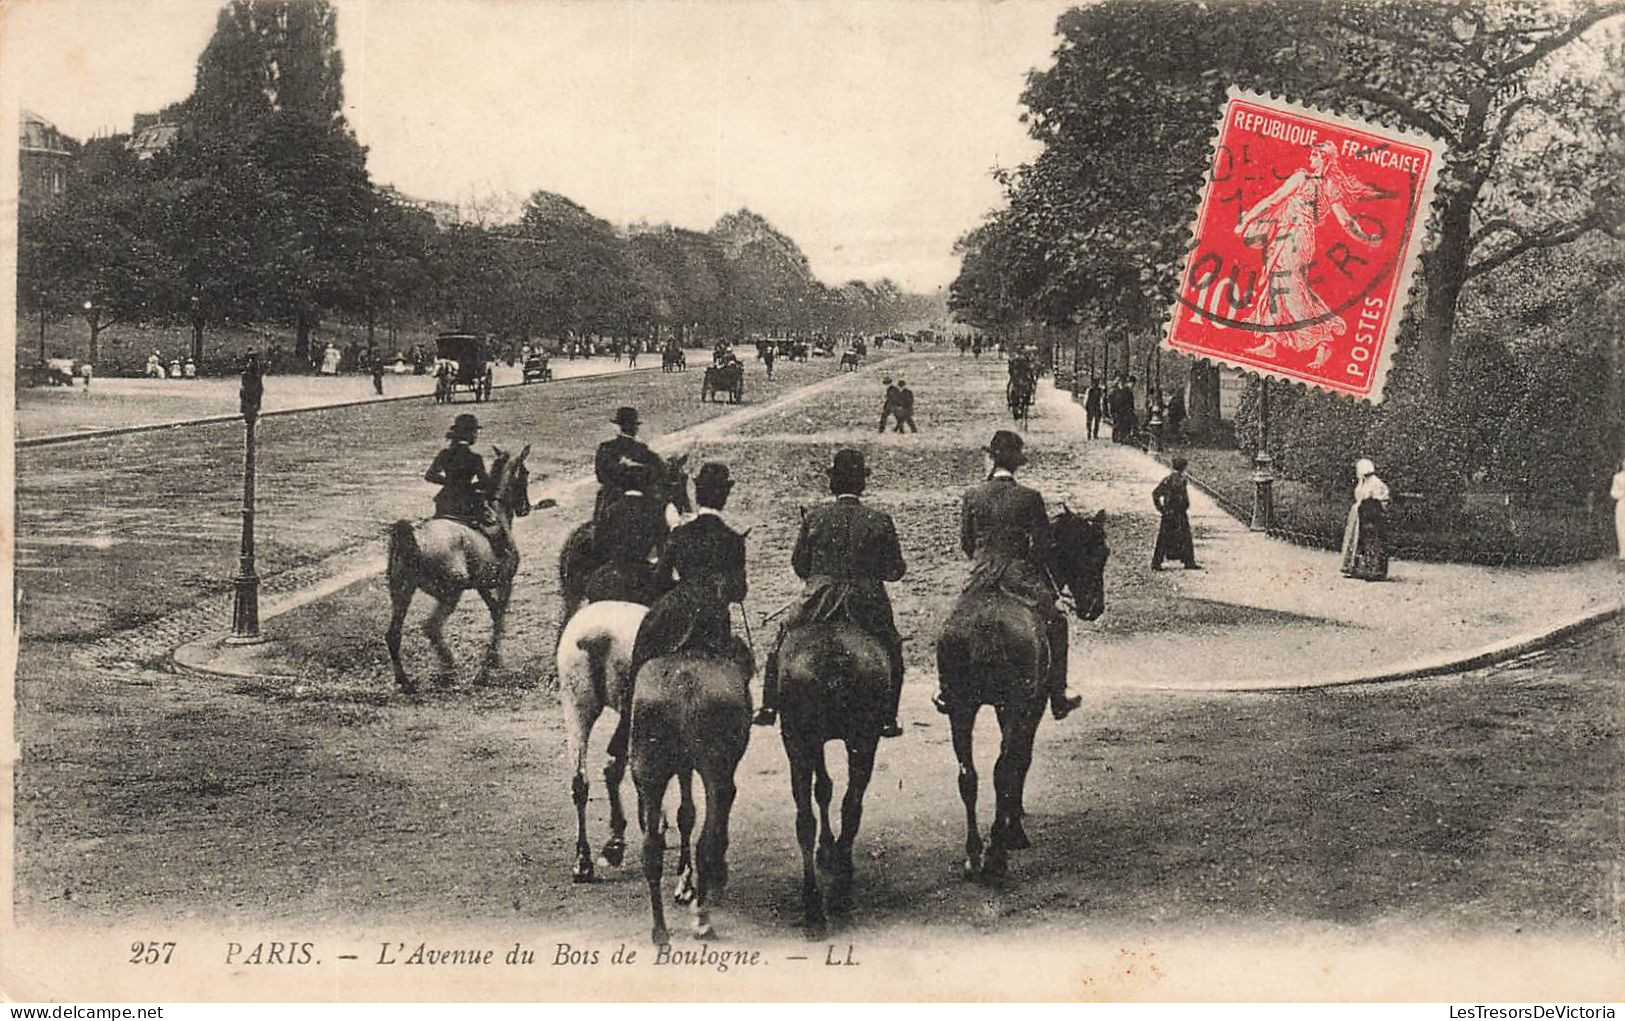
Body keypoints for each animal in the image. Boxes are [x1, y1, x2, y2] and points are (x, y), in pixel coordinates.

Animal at [381, 442, 529, 689]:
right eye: (526, 473)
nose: (526, 508)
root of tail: (414, 538)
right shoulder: (506, 582)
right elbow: (500, 615)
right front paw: (490, 663)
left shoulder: (482, 585)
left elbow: (495, 613)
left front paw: (493, 660)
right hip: (450, 592)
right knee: (431, 627)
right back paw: (448, 666)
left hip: (402, 591)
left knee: (393, 634)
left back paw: (405, 681)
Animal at [773, 617, 890, 936]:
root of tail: (834, 658)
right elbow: (825, 789)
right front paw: (829, 850)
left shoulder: (809, 742)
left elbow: (822, 789)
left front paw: (827, 849)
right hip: (862, 739)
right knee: (850, 807)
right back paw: (838, 889)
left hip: (800, 741)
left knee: (807, 820)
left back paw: (816, 904)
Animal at [936, 507, 1111, 877]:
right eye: (1100, 553)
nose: (1094, 607)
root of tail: (985, 626)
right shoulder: (1032, 705)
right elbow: (1021, 759)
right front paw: (1013, 827)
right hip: (1015, 705)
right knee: (1001, 769)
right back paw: (996, 853)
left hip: (961, 708)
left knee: (968, 776)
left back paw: (974, 853)